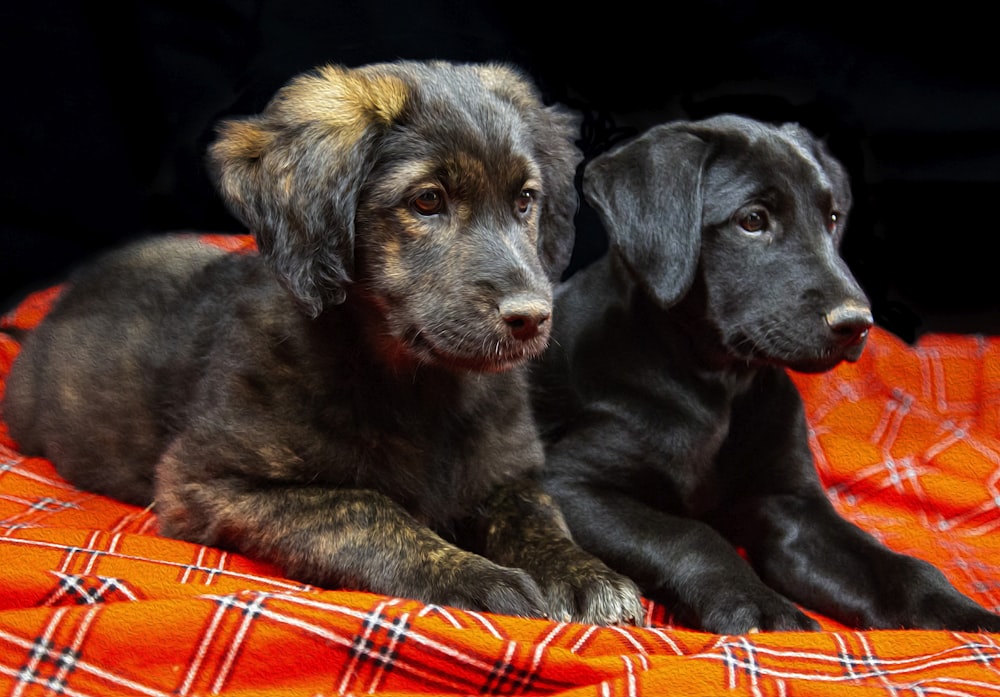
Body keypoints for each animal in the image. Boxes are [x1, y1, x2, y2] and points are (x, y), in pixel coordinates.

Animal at [1, 59, 640, 624]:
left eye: (526, 200)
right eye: (427, 200)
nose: (532, 318)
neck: (418, 386)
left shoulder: (510, 473)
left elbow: (537, 514)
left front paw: (587, 575)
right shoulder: (204, 480)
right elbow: (362, 508)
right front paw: (476, 577)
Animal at [532, 114, 1000, 632]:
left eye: (831, 218)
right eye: (753, 220)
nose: (857, 323)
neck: (719, 385)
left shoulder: (791, 507)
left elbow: (899, 566)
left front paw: (968, 617)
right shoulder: (571, 484)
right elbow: (688, 534)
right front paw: (758, 605)